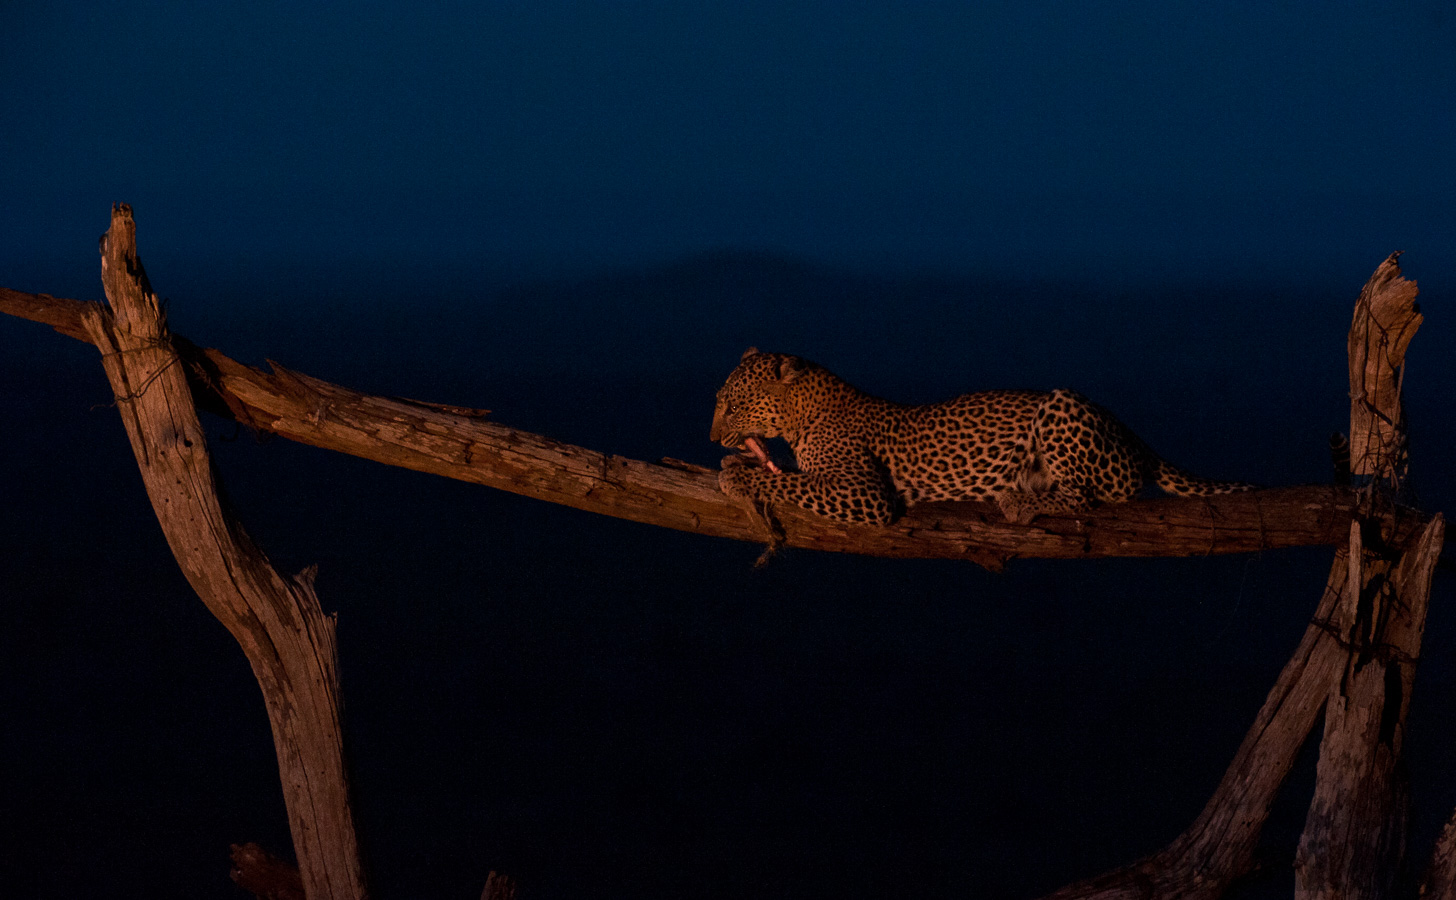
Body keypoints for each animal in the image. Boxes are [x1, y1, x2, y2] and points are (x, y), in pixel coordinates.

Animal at [704, 345, 1252, 524]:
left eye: (731, 404)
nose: (711, 439)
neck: (803, 413)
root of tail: (1131, 431)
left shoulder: (865, 492)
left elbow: (793, 482)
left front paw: (740, 477)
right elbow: (790, 474)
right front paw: (739, 464)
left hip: (1060, 403)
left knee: (1090, 497)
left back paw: (1022, 499)